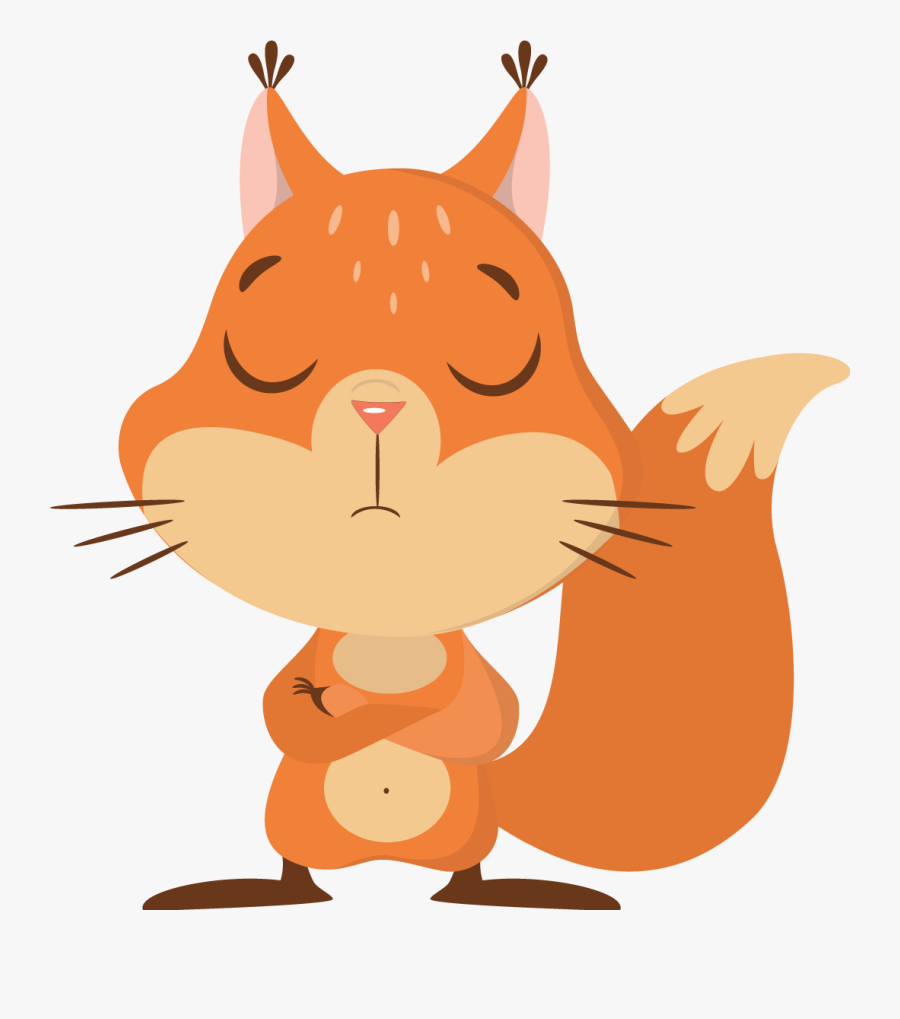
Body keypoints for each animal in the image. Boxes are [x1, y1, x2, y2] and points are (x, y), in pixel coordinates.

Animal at [54, 41, 848, 910]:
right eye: (264, 344)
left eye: (498, 352)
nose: (376, 404)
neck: (385, 628)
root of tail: (383, 867)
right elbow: (282, 712)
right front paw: (344, 706)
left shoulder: (475, 684)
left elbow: (482, 718)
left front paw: (394, 709)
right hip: (292, 813)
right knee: (297, 860)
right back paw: (274, 887)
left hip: (468, 823)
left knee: (465, 864)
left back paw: (494, 889)